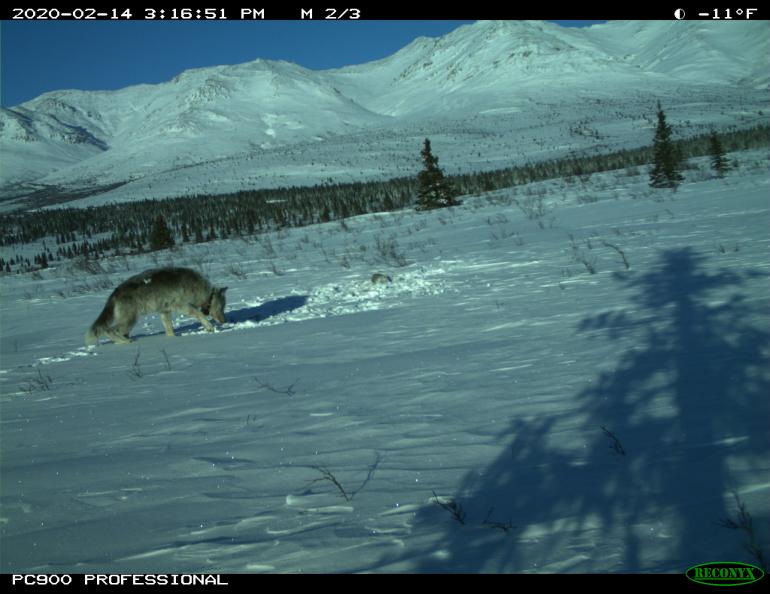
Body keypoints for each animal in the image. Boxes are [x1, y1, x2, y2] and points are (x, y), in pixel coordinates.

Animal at [86, 268, 228, 344]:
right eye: (221, 308)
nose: (224, 321)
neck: (200, 291)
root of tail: (114, 293)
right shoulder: (181, 306)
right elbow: (198, 314)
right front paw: (209, 327)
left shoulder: (165, 311)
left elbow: (169, 328)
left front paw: (172, 339)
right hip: (129, 321)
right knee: (109, 330)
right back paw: (125, 342)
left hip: (128, 322)